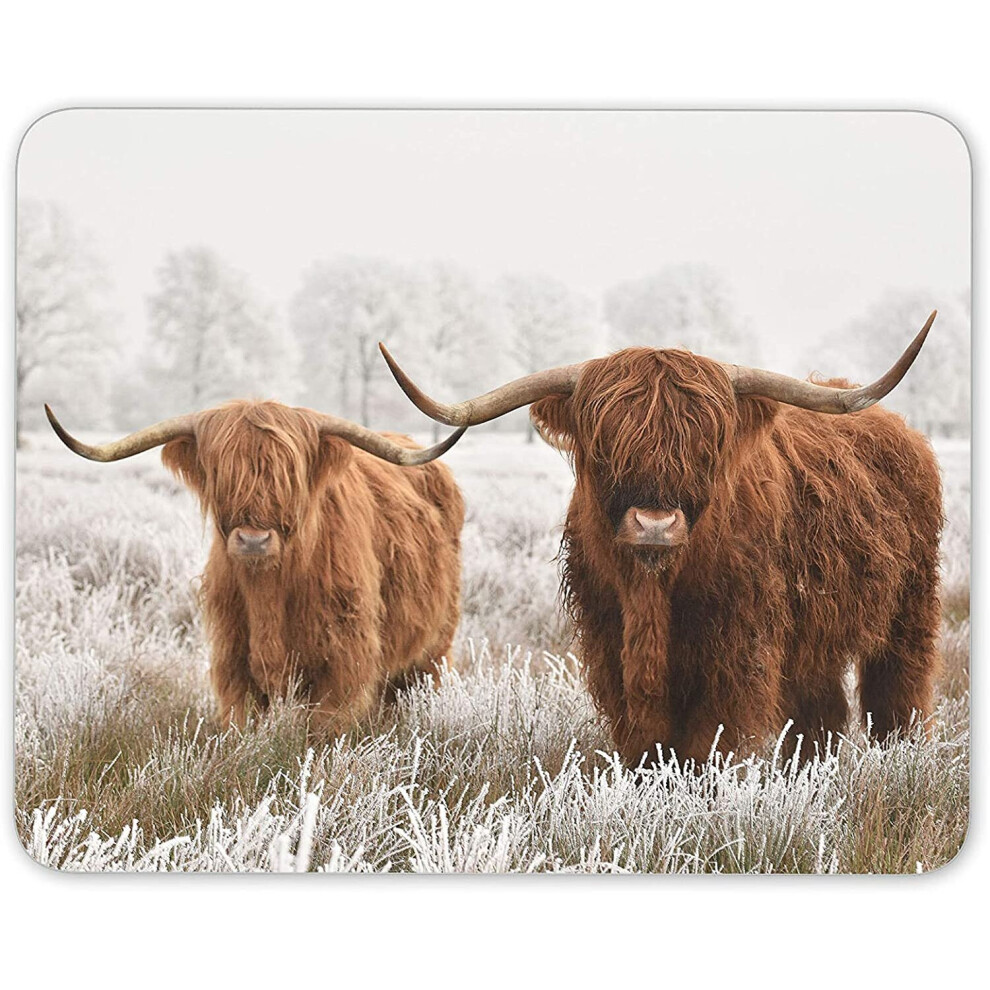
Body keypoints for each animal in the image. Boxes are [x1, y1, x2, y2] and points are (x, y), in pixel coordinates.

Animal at [46, 400, 466, 734]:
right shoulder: (233, 661)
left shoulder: (344, 663)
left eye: (288, 476)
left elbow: (324, 731)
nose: (253, 540)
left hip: (433, 647)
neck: (269, 591)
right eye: (221, 474)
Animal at [379, 312, 942, 767]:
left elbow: (708, 745)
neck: (652, 594)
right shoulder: (610, 646)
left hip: (909, 610)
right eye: (604, 444)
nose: (654, 524)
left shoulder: (738, 653)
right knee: (821, 712)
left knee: (897, 694)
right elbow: (645, 744)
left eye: (706, 445)